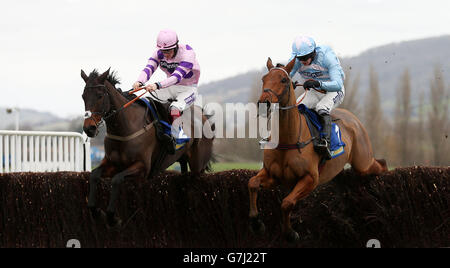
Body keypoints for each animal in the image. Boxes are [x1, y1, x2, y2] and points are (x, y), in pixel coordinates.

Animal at [81, 69, 214, 228]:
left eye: (100, 96)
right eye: (83, 96)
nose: (89, 128)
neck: (126, 127)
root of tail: (204, 116)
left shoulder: (142, 168)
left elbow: (116, 180)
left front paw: (113, 218)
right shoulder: (111, 163)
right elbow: (94, 175)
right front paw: (97, 212)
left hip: (198, 166)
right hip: (183, 160)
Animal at [248, 58, 388, 243]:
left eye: (283, 80)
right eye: (263, 79)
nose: (264, 104)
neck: (288, 140)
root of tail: (354, 120)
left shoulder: (311, 179)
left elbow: (286, 203)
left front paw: (290, 233)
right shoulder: (273, 175)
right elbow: (252, 184)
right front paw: (257, 223)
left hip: (363, 163)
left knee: (381, 164)